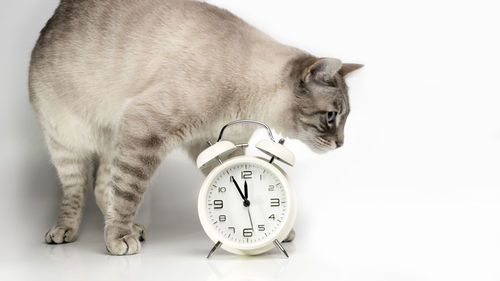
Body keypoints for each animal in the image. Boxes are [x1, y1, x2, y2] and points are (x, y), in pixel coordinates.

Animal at [29, 0, 362, 254]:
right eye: (331, 116)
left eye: (343, 118)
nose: (341, 143)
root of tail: (56, 15)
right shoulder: (145, 130)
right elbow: (128, 193)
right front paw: (117, 240)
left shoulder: (217, 145)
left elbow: (243, 185)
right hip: (68, 144)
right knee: (77, 191)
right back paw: (69, 231)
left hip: (115, 142)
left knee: (102, 187)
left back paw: (134, 228)